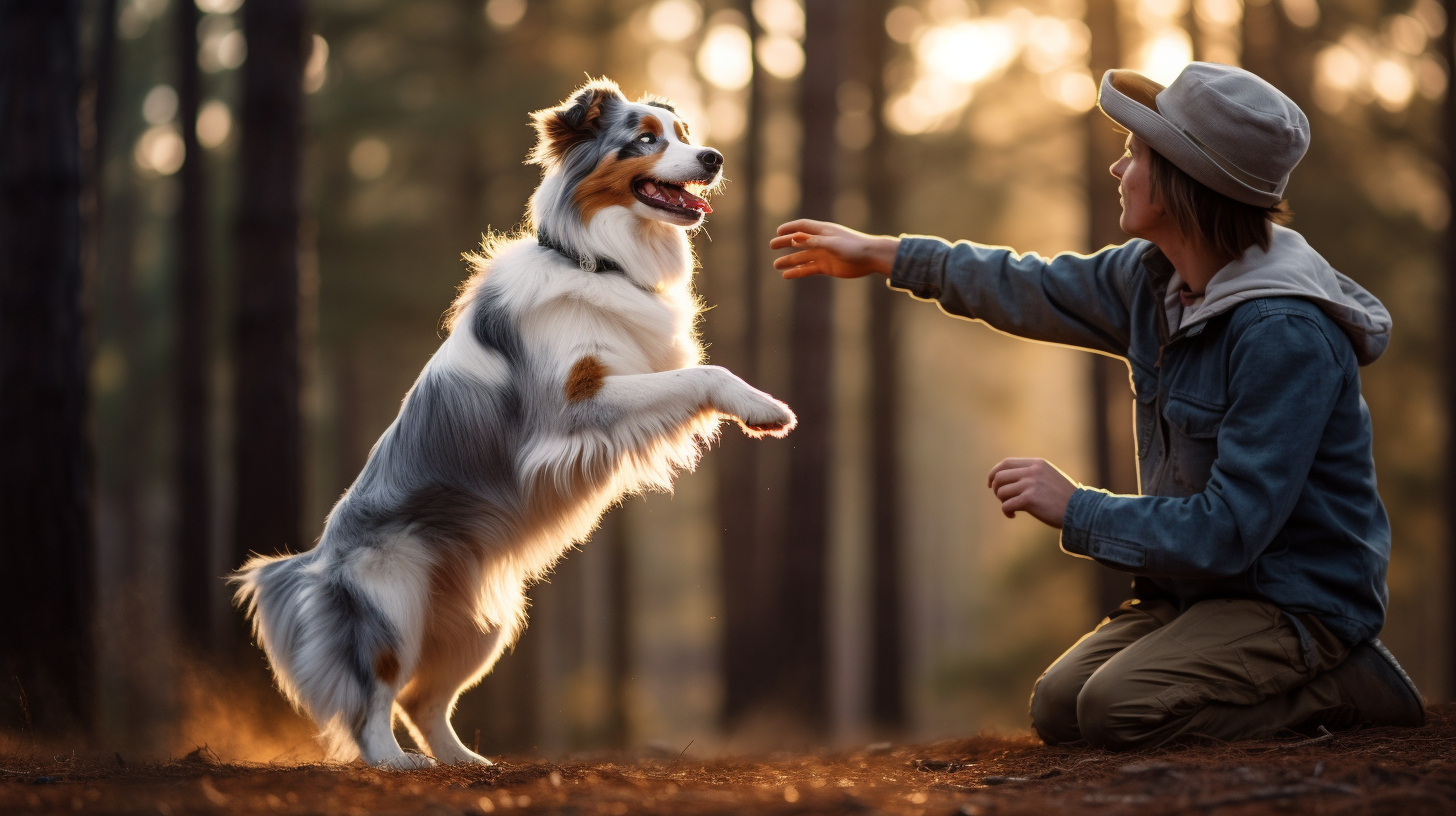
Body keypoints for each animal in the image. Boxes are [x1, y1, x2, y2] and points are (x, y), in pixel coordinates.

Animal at [232, 79, 797, 769]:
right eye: (645, 140)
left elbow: (690, 375)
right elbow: (704, 374)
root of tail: (317, 560)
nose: (713, 158)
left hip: (483, 623)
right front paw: (766, 411)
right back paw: (395, 762)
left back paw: (465, 763)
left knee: (423, 700)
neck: (596, 259)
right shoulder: (571, 406)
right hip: (393, 602)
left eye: (684, 134)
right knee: (374, 695)